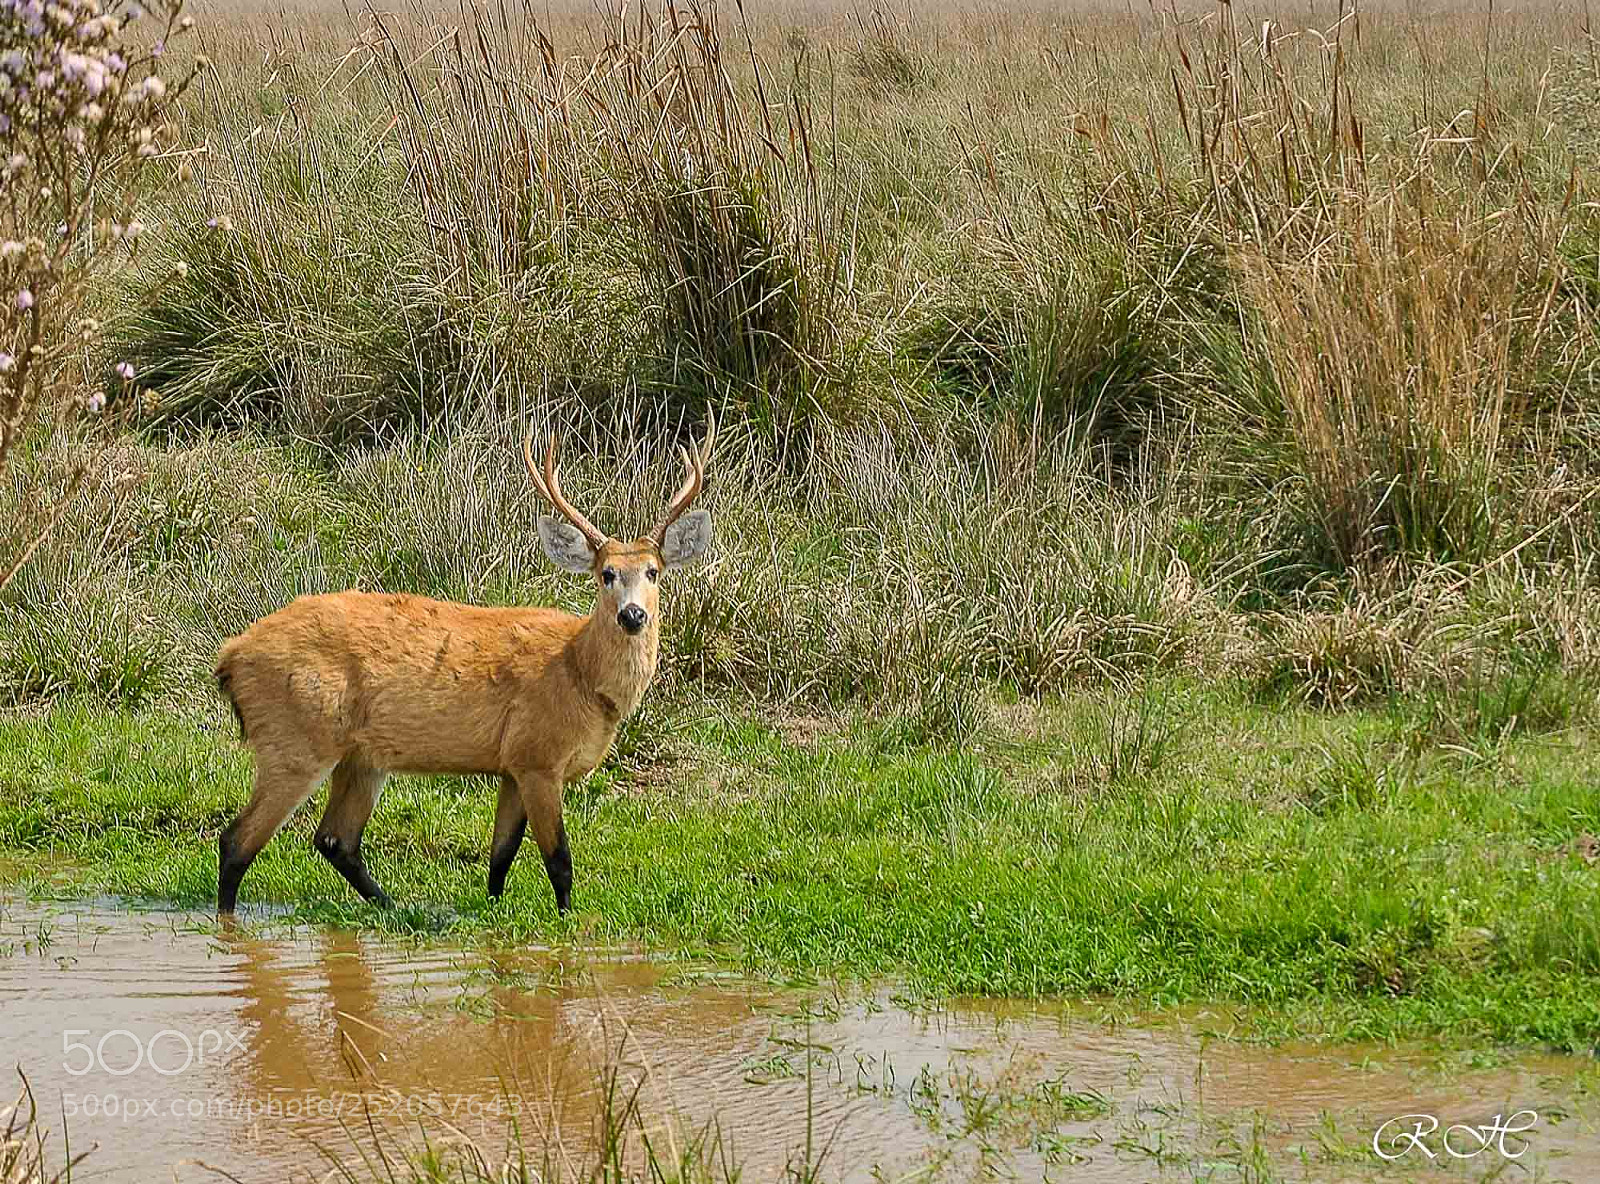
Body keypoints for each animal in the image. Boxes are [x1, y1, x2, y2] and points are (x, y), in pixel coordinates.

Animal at [212, 413, 716, 917]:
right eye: (606, 573)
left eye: (653, 571)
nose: (632, 615)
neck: (580, 673)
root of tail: (231, 656)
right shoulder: (537, 755)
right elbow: (559, 859)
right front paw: (568, 922)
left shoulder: (512, 764)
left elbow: (501, 855)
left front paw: (493, 913)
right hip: (295, 736)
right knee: (237, 841)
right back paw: (231, 921)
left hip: (361, 757)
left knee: (336, 839)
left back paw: (396, 907)